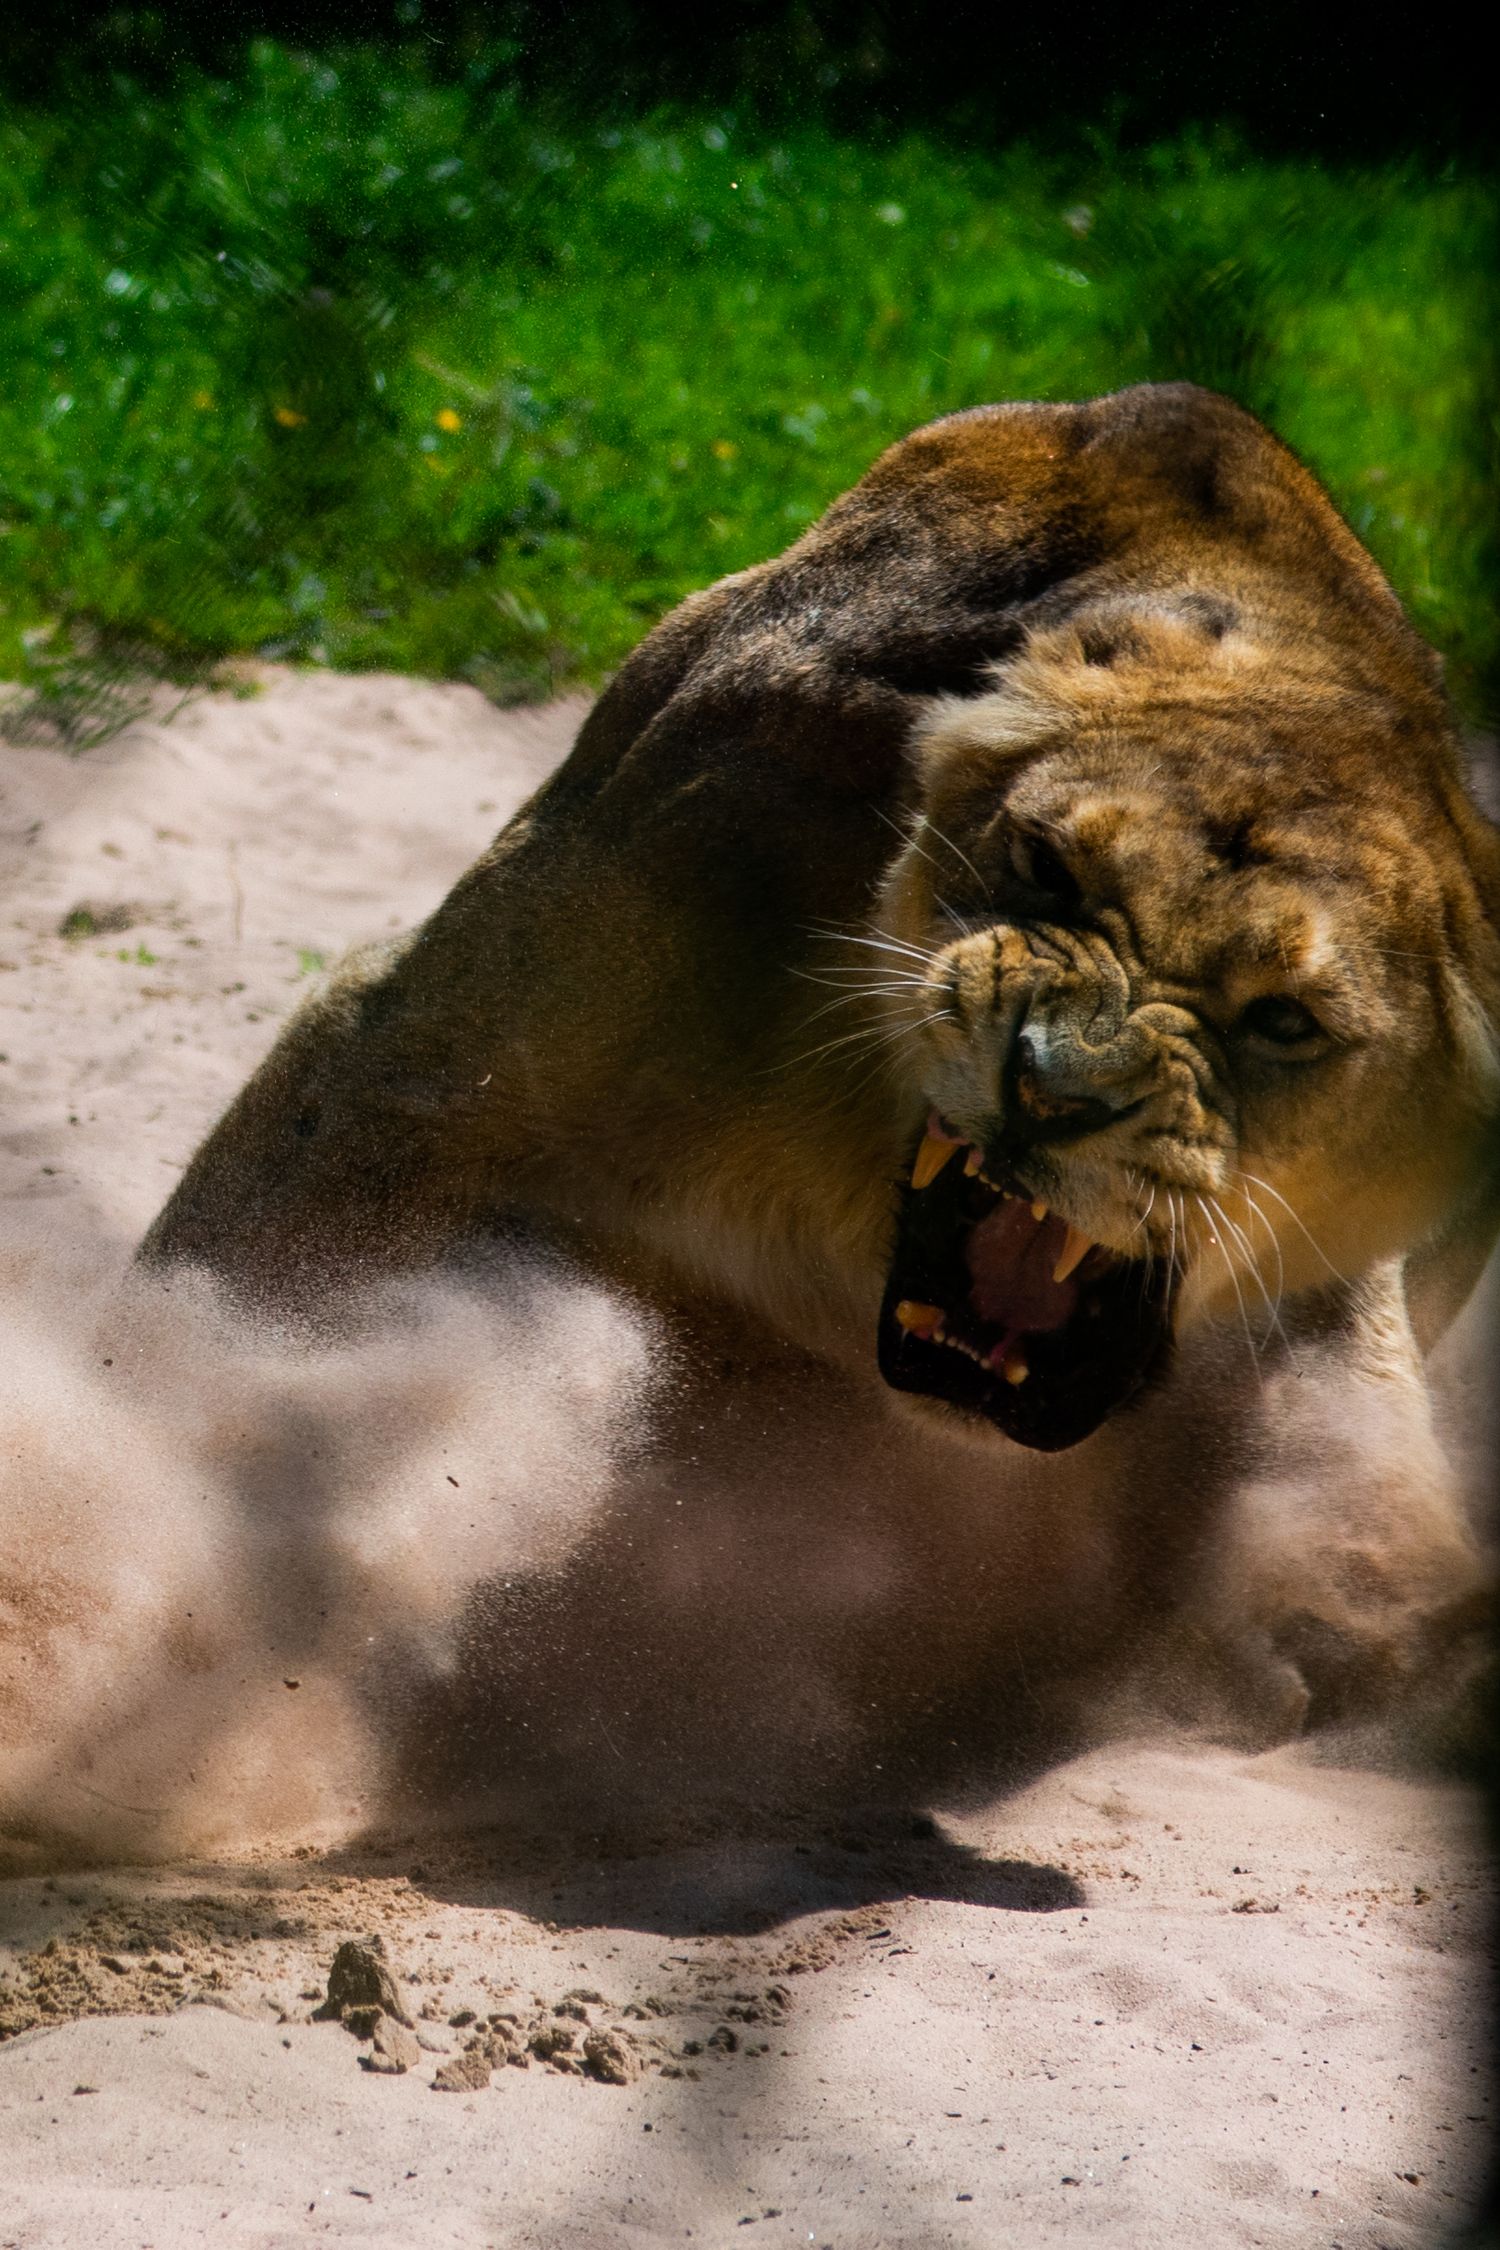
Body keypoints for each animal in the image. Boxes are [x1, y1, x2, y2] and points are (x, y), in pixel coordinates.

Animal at [139, 383, 1499, 1811]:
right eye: (1044, 866)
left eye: (1286, 1021)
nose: (1052, 1088)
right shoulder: (415, 1069)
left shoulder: (1331, 1328)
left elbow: (1362, 1539)